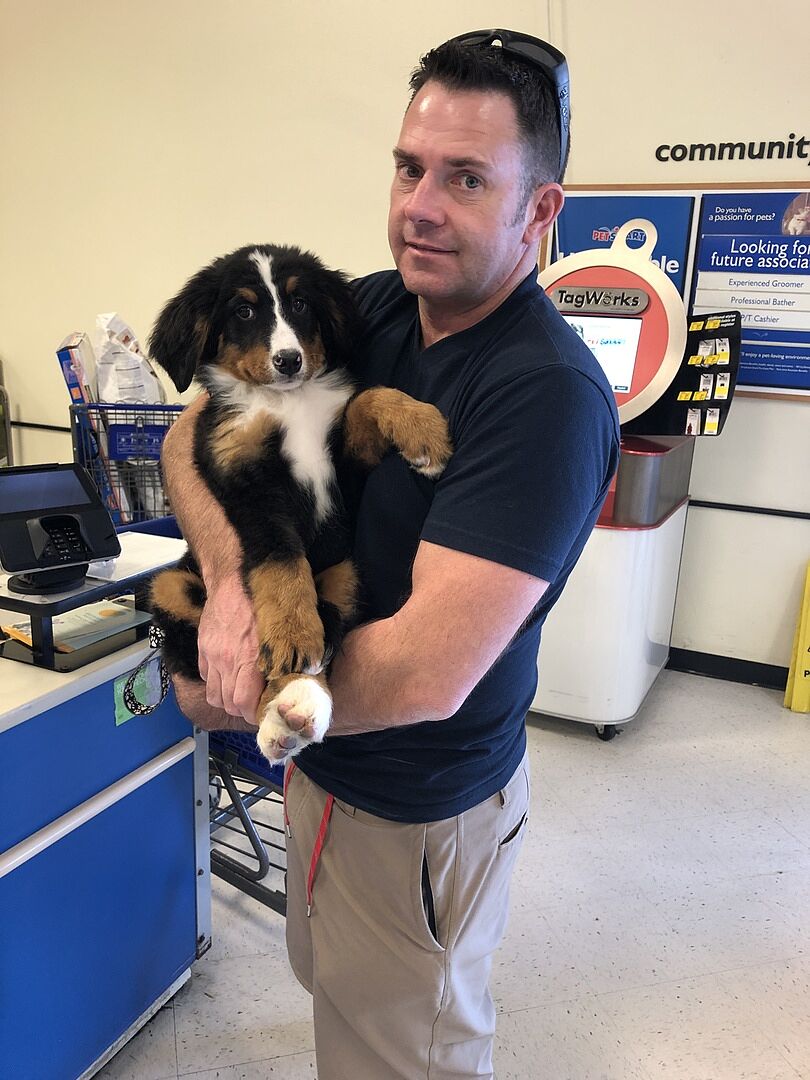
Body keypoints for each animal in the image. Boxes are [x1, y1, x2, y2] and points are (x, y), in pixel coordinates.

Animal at [148, 244, 452, 762]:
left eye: (301, 304)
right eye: (244, 311)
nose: (288, 360)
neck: (287, 401)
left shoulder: (347, 467)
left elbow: (368, 397)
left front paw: (424, 431)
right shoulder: (248, 487)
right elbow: (282, 564)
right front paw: (292, 633)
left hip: (347, 573)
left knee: (331, 628)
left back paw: (302, 701)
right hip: (169, 585)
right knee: (201, 656)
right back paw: (282, 710)